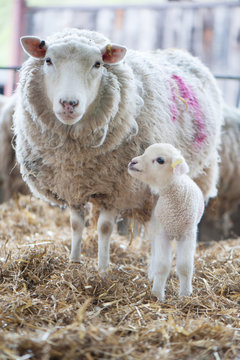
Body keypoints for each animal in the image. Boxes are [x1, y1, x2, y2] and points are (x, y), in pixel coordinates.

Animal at [128, 143, 203, 300]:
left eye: (160, 160)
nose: (133, 162)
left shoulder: (188, 234)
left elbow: (185, 267)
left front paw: (185, 294)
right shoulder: (162, 233)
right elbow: (162, 266)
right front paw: (157, 294)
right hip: (155, 227)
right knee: (154, 252)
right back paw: (152, 275)